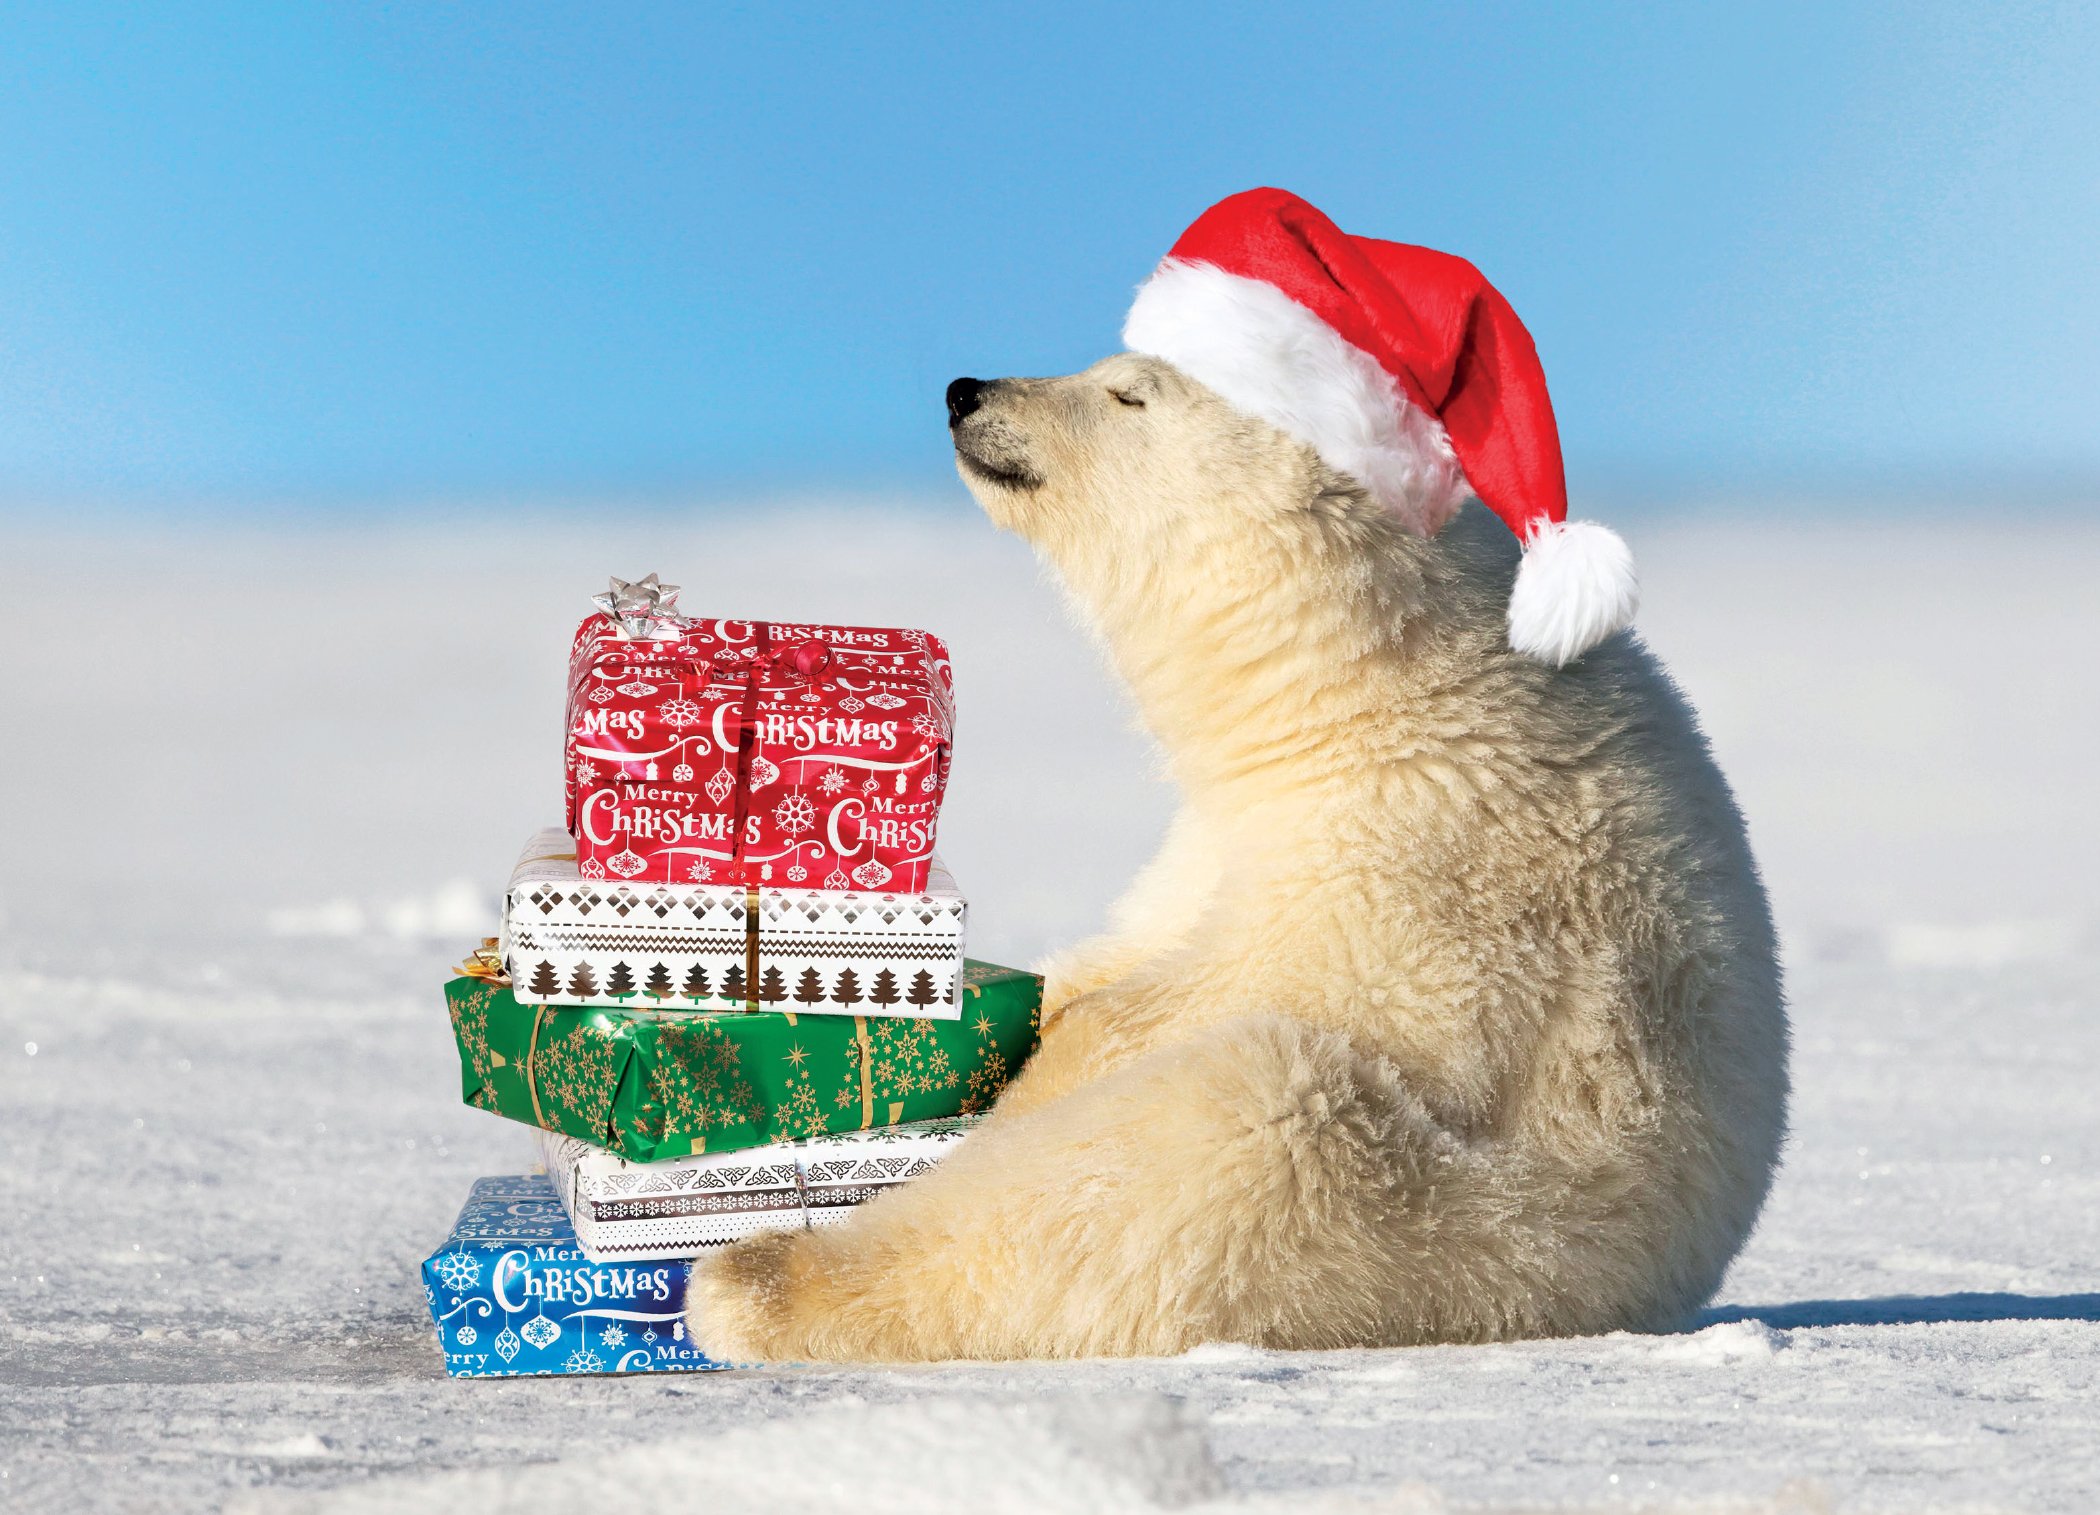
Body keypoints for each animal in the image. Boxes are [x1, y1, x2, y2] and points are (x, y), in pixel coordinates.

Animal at [685, 350, 1788, 1363]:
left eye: (1129, 392)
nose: (969, 391)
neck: (1370, 695)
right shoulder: (1214, 839)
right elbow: (1127, 949)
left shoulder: (1442, 851)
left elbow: (1291, 994)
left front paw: (1043, 1064)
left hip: (1449, 1240)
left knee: (1224, 1136)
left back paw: (757, 1277)